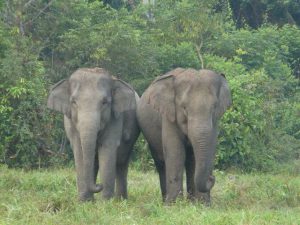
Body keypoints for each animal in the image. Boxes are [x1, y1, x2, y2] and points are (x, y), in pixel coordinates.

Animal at [47, 67, 140, 201]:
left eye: (105, 102)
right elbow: (79, 150)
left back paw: (120, 200)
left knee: (121, 163)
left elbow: (107, 148)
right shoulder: (70, 122)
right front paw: (84, 201)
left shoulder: (115, 118)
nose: (99, 185)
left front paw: (106, 202)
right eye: (73, 102)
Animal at [137, 67, 232, 205]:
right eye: (184, 107)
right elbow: (175, 152)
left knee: (191, 160)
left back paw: (191, 201)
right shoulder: (169, 115)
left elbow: (210, 147)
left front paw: (203, 205)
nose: (211, 177)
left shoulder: (215, 121)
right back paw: (166, 200)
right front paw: (174, 205)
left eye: (214, 107)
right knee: (161, 162)